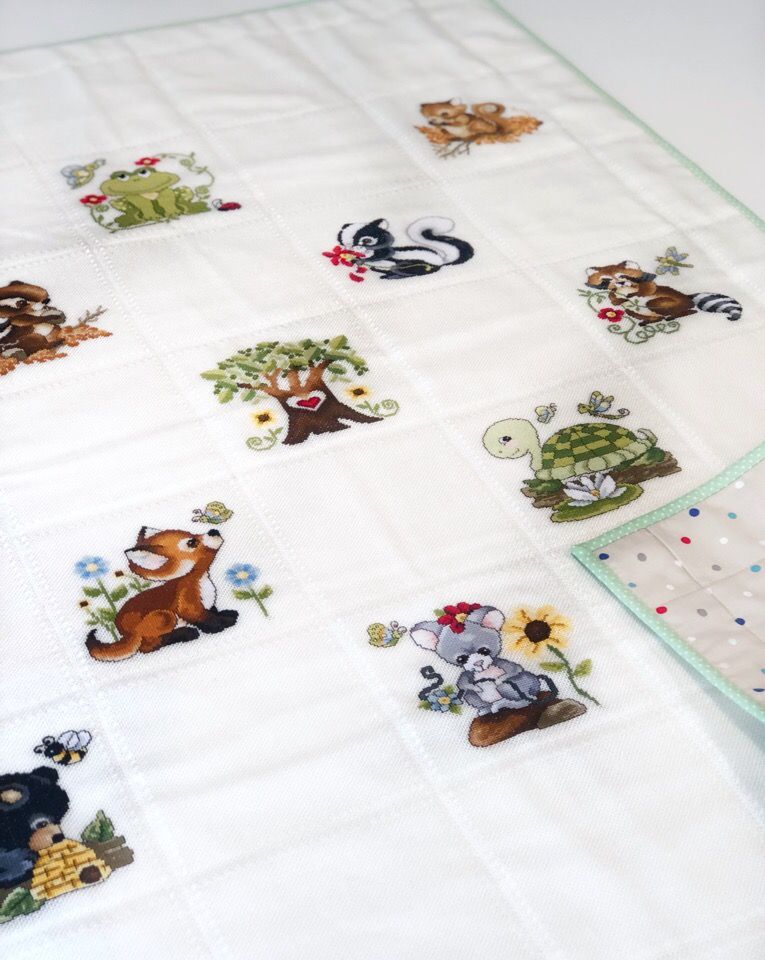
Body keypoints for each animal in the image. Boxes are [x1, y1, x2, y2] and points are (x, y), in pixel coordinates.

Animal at [85, 527, 238, 662]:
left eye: (192, 533)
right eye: (191, 542)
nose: (214, 530)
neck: (202, 583)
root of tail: (123, 629)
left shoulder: (208, 605)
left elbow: (214, 612)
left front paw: (227, 616)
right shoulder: (188, 606)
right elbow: (205, 619)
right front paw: (217, 626)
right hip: (165, 616)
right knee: (149, 646)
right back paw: (185, 633)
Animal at [585, 261, 742, 325]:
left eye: (623, 276)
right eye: (606, 280)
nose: (620, 283)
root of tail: (688, 297)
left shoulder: (646, 284)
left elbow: (650, 288)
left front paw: (634, 295)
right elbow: (613, 298)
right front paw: (619, 299)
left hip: (669, 303)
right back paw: (648, 321)